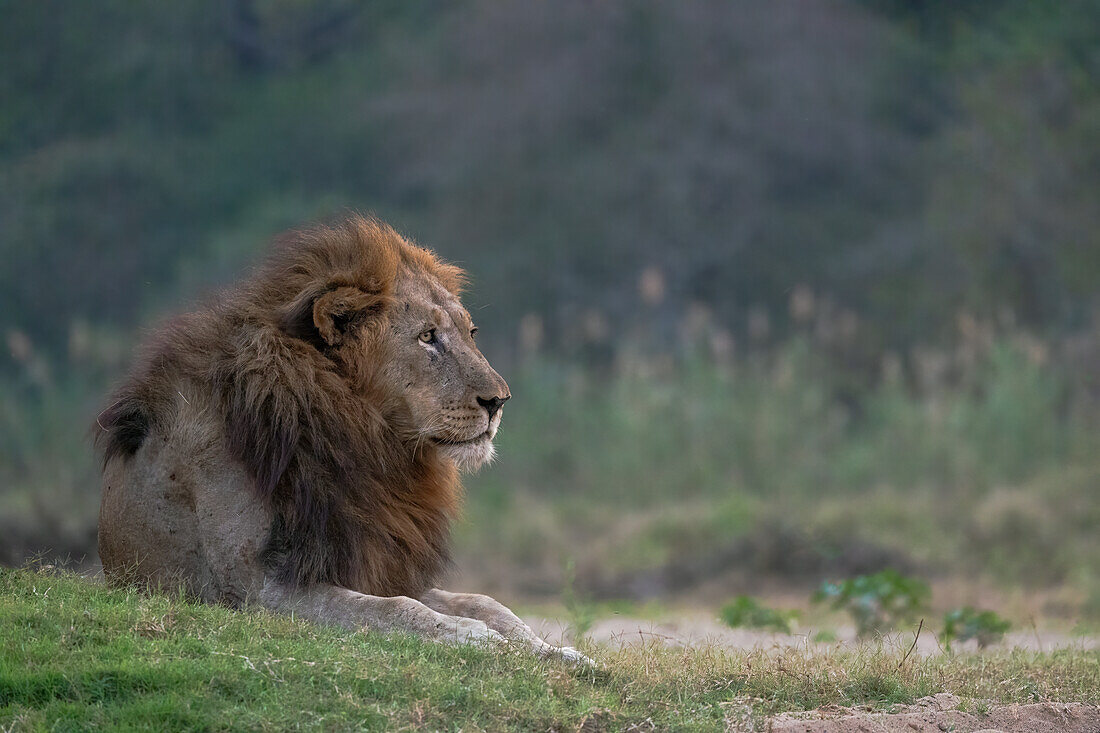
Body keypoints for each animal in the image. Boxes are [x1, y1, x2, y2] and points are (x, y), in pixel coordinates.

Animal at [99, 212, 589, 660]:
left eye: (470, 333)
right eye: (428, 337)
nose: (499, 401)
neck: (367, 443)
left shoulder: (372, 561)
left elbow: (484, 602)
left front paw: (559, 653)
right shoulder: (255, 588)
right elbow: (399, 610)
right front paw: (477, 639)